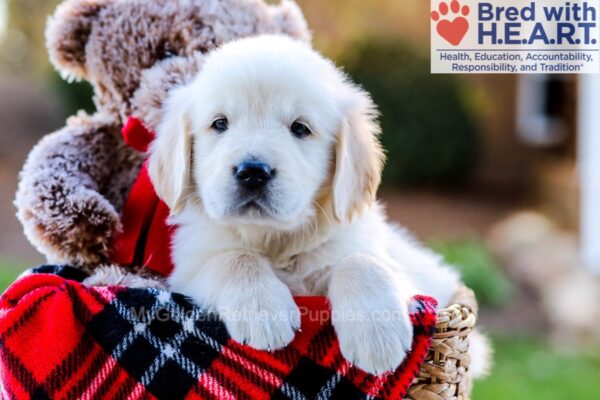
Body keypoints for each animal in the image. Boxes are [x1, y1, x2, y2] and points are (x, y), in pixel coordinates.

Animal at [148, 34, 466, 376]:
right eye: (219, 124)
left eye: (300, 128)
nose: (252, 173)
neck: (276, 241)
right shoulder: (189, 269)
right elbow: (235, 258)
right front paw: (262, 310)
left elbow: (361, 261)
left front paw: (377, 333)